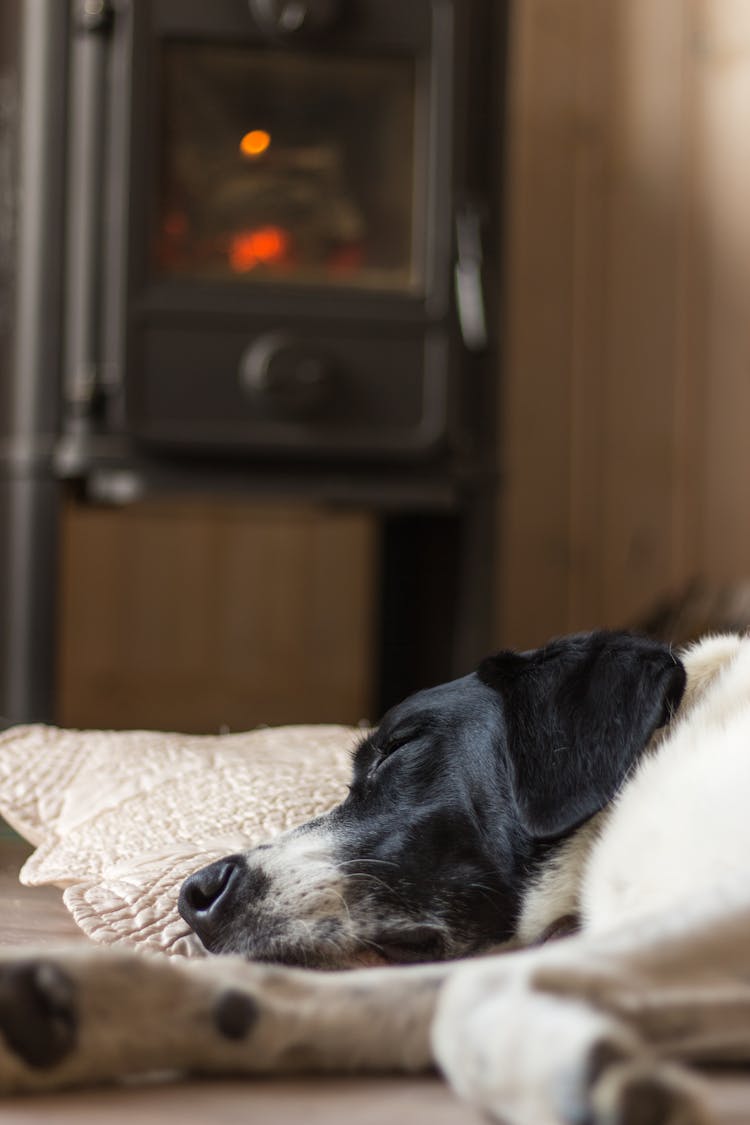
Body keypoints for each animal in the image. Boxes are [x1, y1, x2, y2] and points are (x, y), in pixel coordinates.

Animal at [1, 634, 750, 1125]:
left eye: (398, 749)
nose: (196, 894)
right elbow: (341, 994)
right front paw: (76, 1008)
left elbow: (467, 993)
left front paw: (590, 1075)